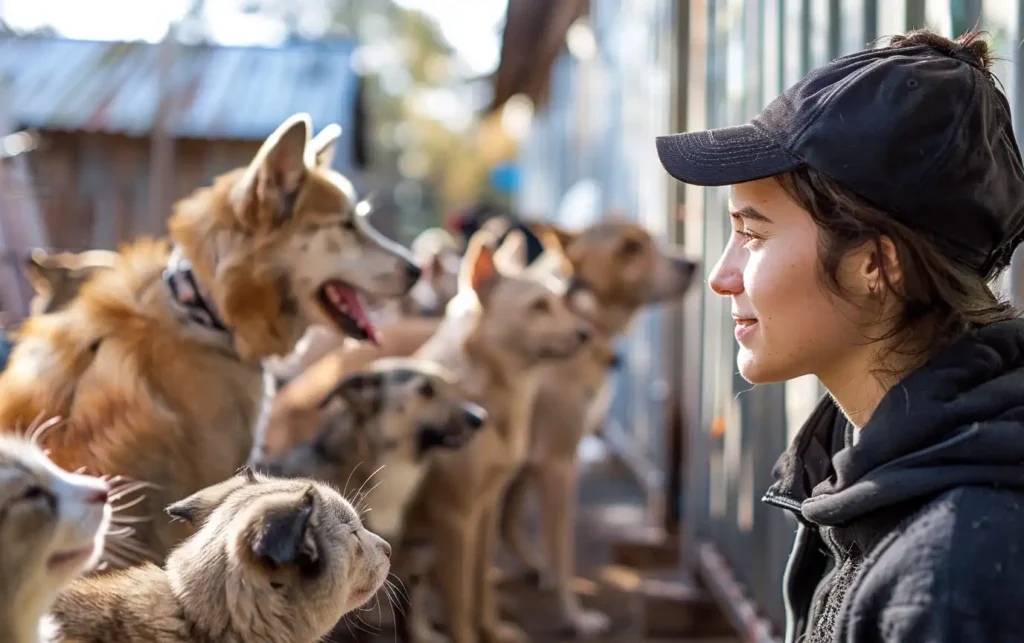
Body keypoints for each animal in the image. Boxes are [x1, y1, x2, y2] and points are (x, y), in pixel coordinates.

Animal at [493, 218, 696, 634]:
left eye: (651, 238)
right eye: (630, 247)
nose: (692, 263)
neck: (581, 315)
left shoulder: (532, 458)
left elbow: (522, 527)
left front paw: (544, 574)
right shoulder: (557, 461)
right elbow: (562, 548)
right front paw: (574, 617)